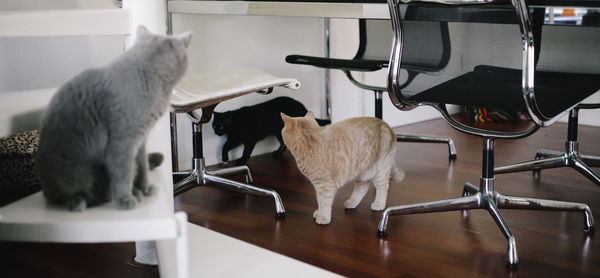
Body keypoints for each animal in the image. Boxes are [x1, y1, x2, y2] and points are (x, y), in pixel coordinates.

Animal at [37, 26, 192, 211]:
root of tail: (44, 184)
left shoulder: (141, 141)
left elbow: (142, 166)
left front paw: (145, 188)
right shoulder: (123, 143)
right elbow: (123, 172)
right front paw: (125, 200)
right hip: (76, 174)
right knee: (63, 196)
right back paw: (79, 201)